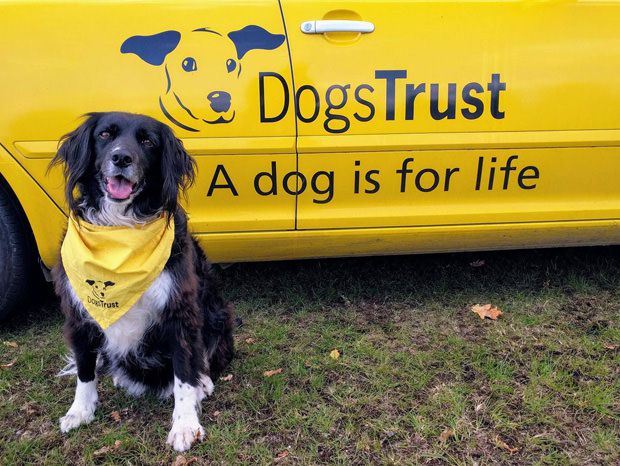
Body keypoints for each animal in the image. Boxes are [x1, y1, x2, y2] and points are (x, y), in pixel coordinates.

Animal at [50, 112, 235, 452]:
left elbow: (184, 372)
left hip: (218, 312)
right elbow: (84, 368)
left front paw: (185, 424)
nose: (121, 158)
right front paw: (80, 411)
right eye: (104, 135)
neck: (121, 229)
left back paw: (203, 382)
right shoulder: (77, 313)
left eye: (148, 141)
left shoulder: (180, 309)